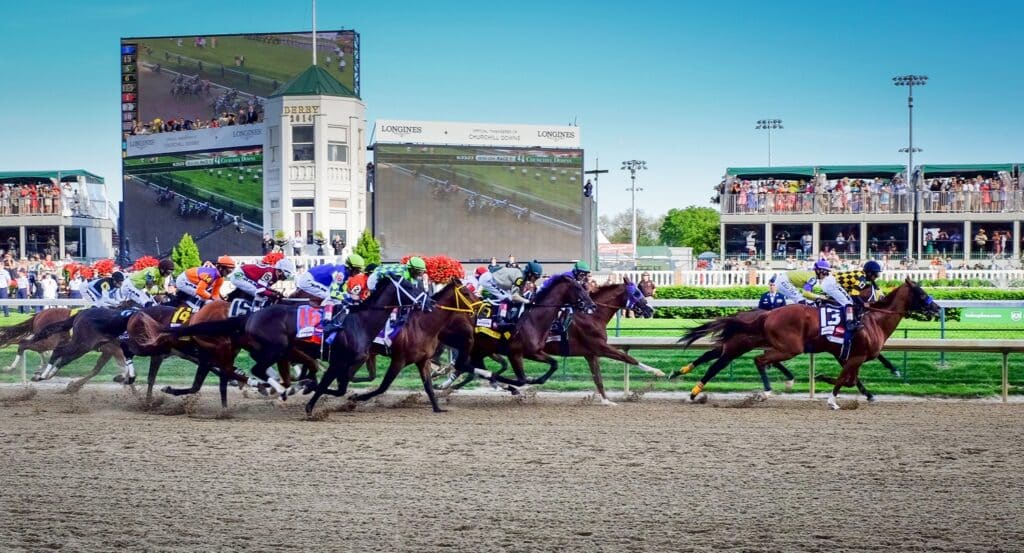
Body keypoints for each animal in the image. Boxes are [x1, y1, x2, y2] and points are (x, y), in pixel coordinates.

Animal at [350, 280, 481, 409]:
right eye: (466, 293)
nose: (481, 305)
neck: (422, 326)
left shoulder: (422, 360)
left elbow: (429, 387)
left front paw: (438, 408)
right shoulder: (399, 360)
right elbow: (383, 386)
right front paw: (357, 398)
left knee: (368, 375)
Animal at [479, 278, 663, 403]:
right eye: (637, 293)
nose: (650, 310)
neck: (592, 316)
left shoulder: (591, 353)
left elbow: (598, 378)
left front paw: (606, 401)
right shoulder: (600, 347)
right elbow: (628, 357)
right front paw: (657, 371)